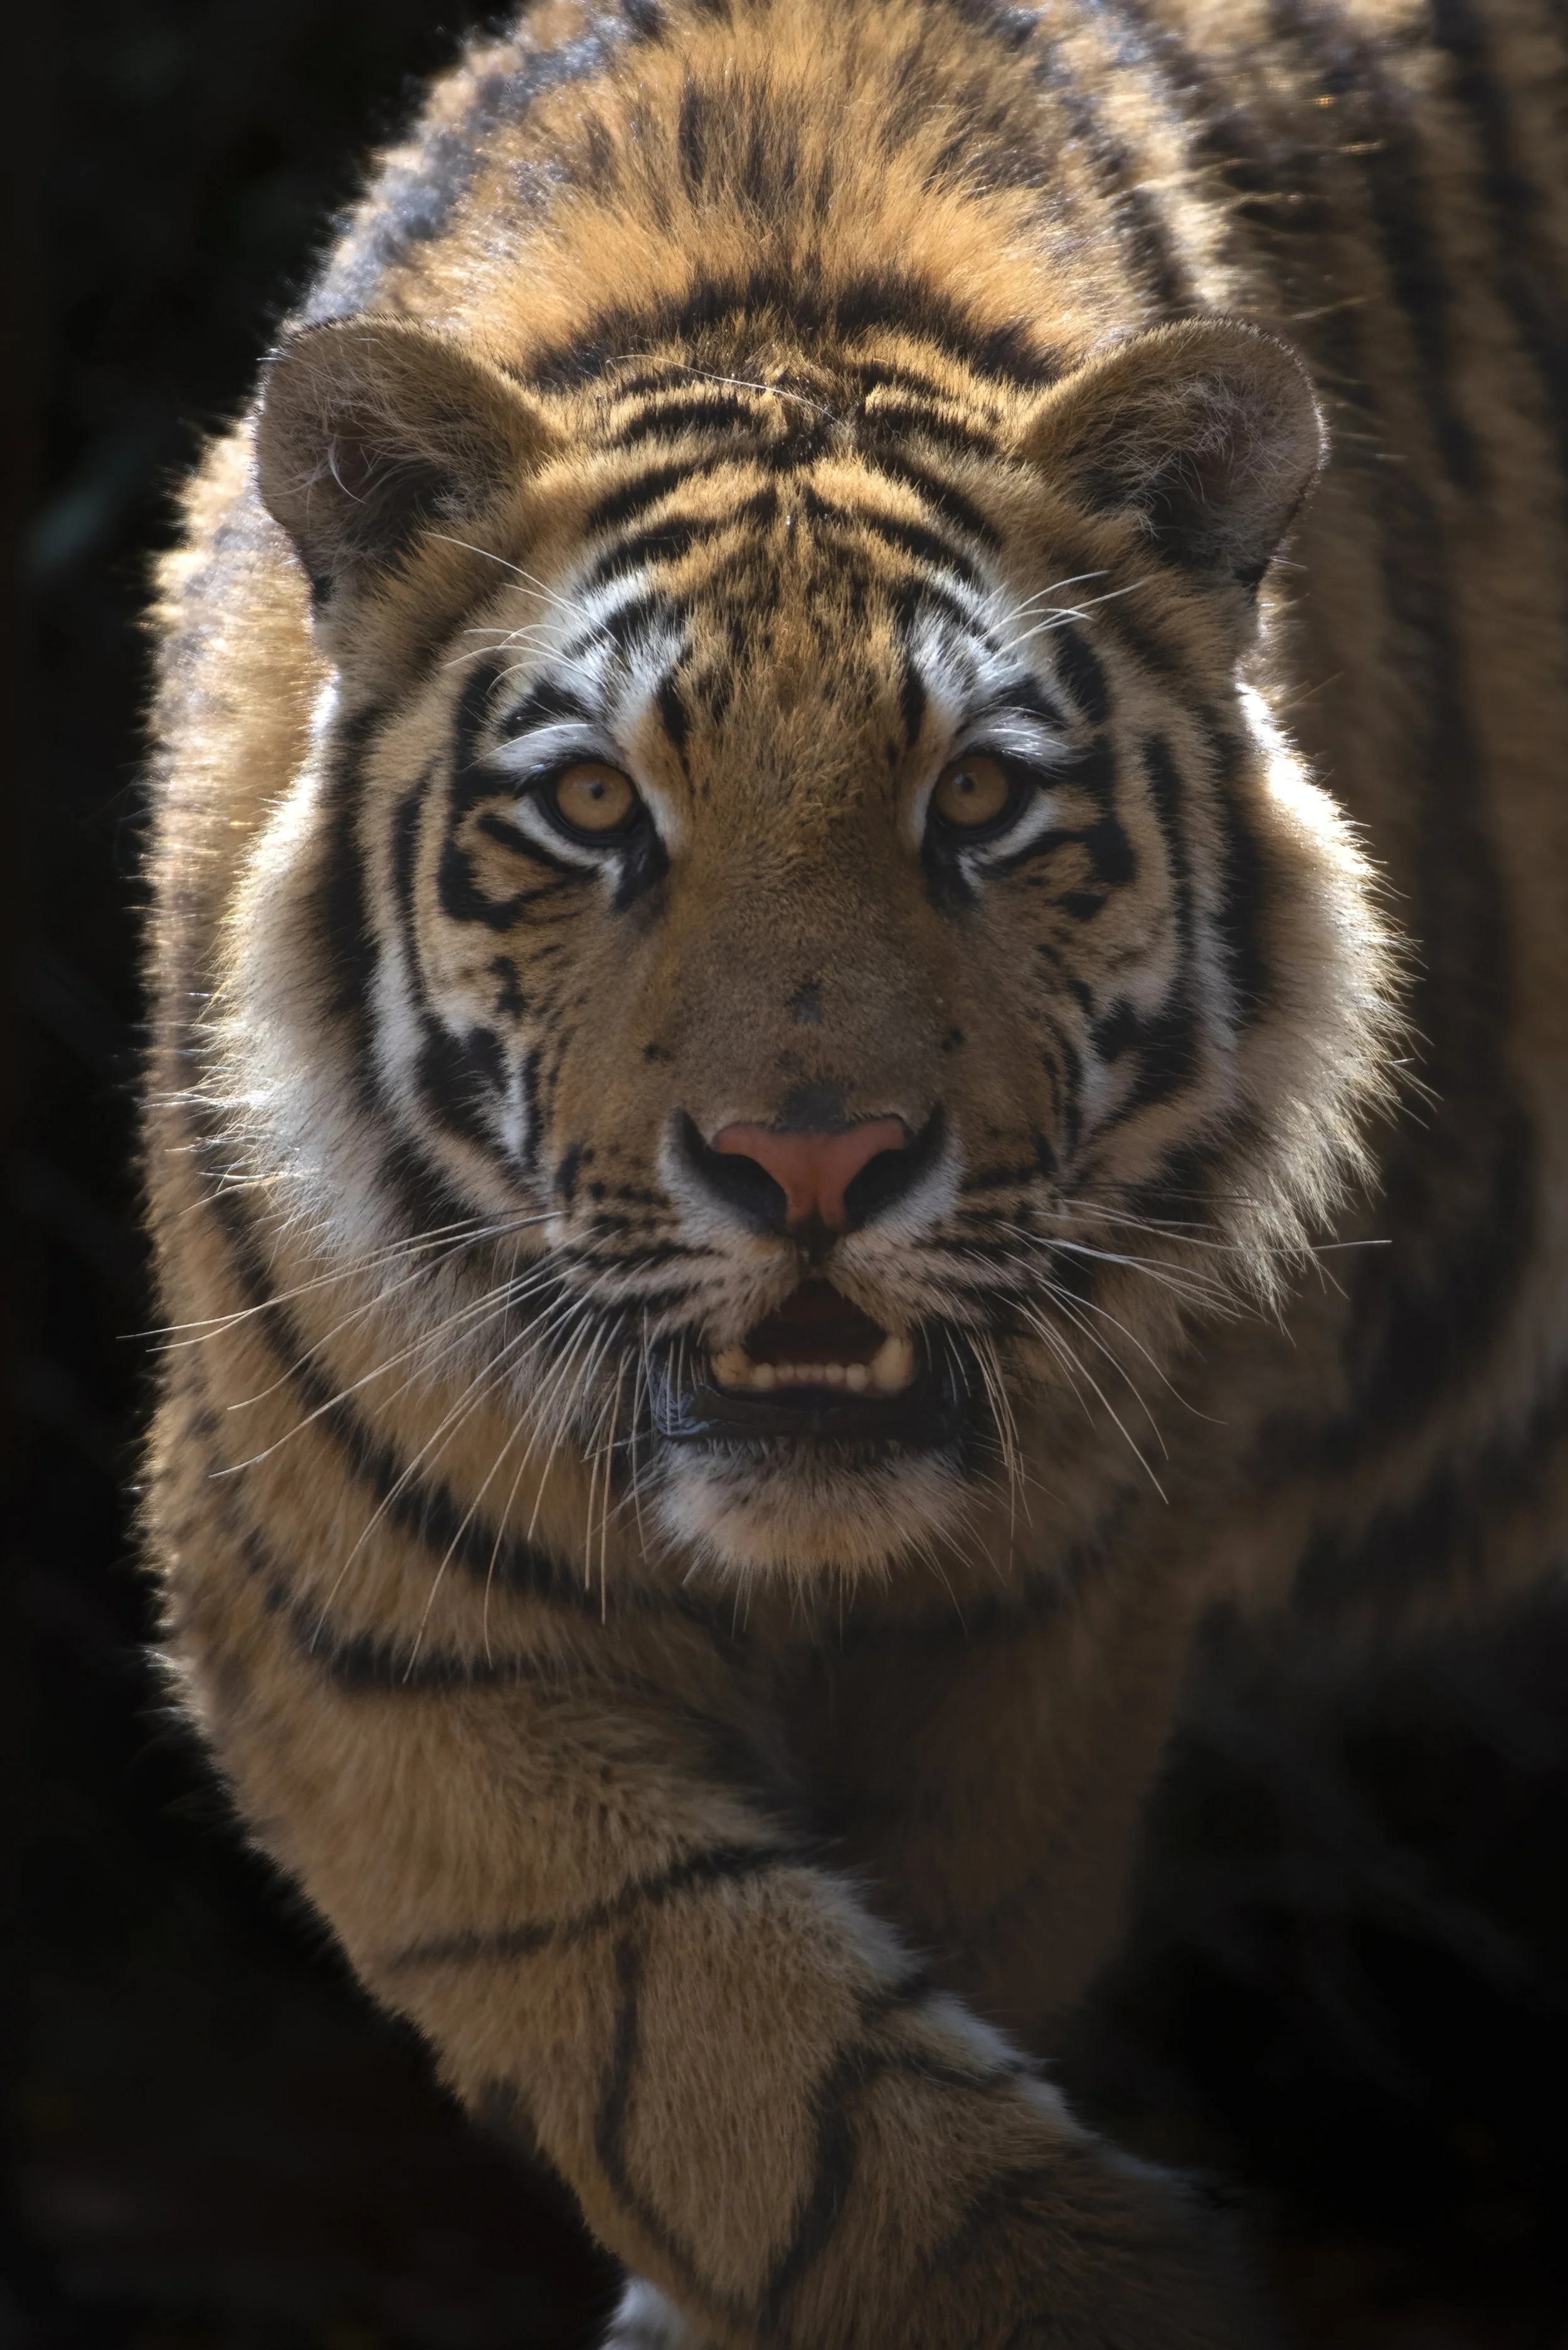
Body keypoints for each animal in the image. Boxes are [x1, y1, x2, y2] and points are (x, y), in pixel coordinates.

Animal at [141, 0, 1568, 2340]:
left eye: (979, 799)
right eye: (596, 807)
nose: (809, 1160)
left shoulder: (1039, 1631)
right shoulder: (364, 1624)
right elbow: (722, 2039)